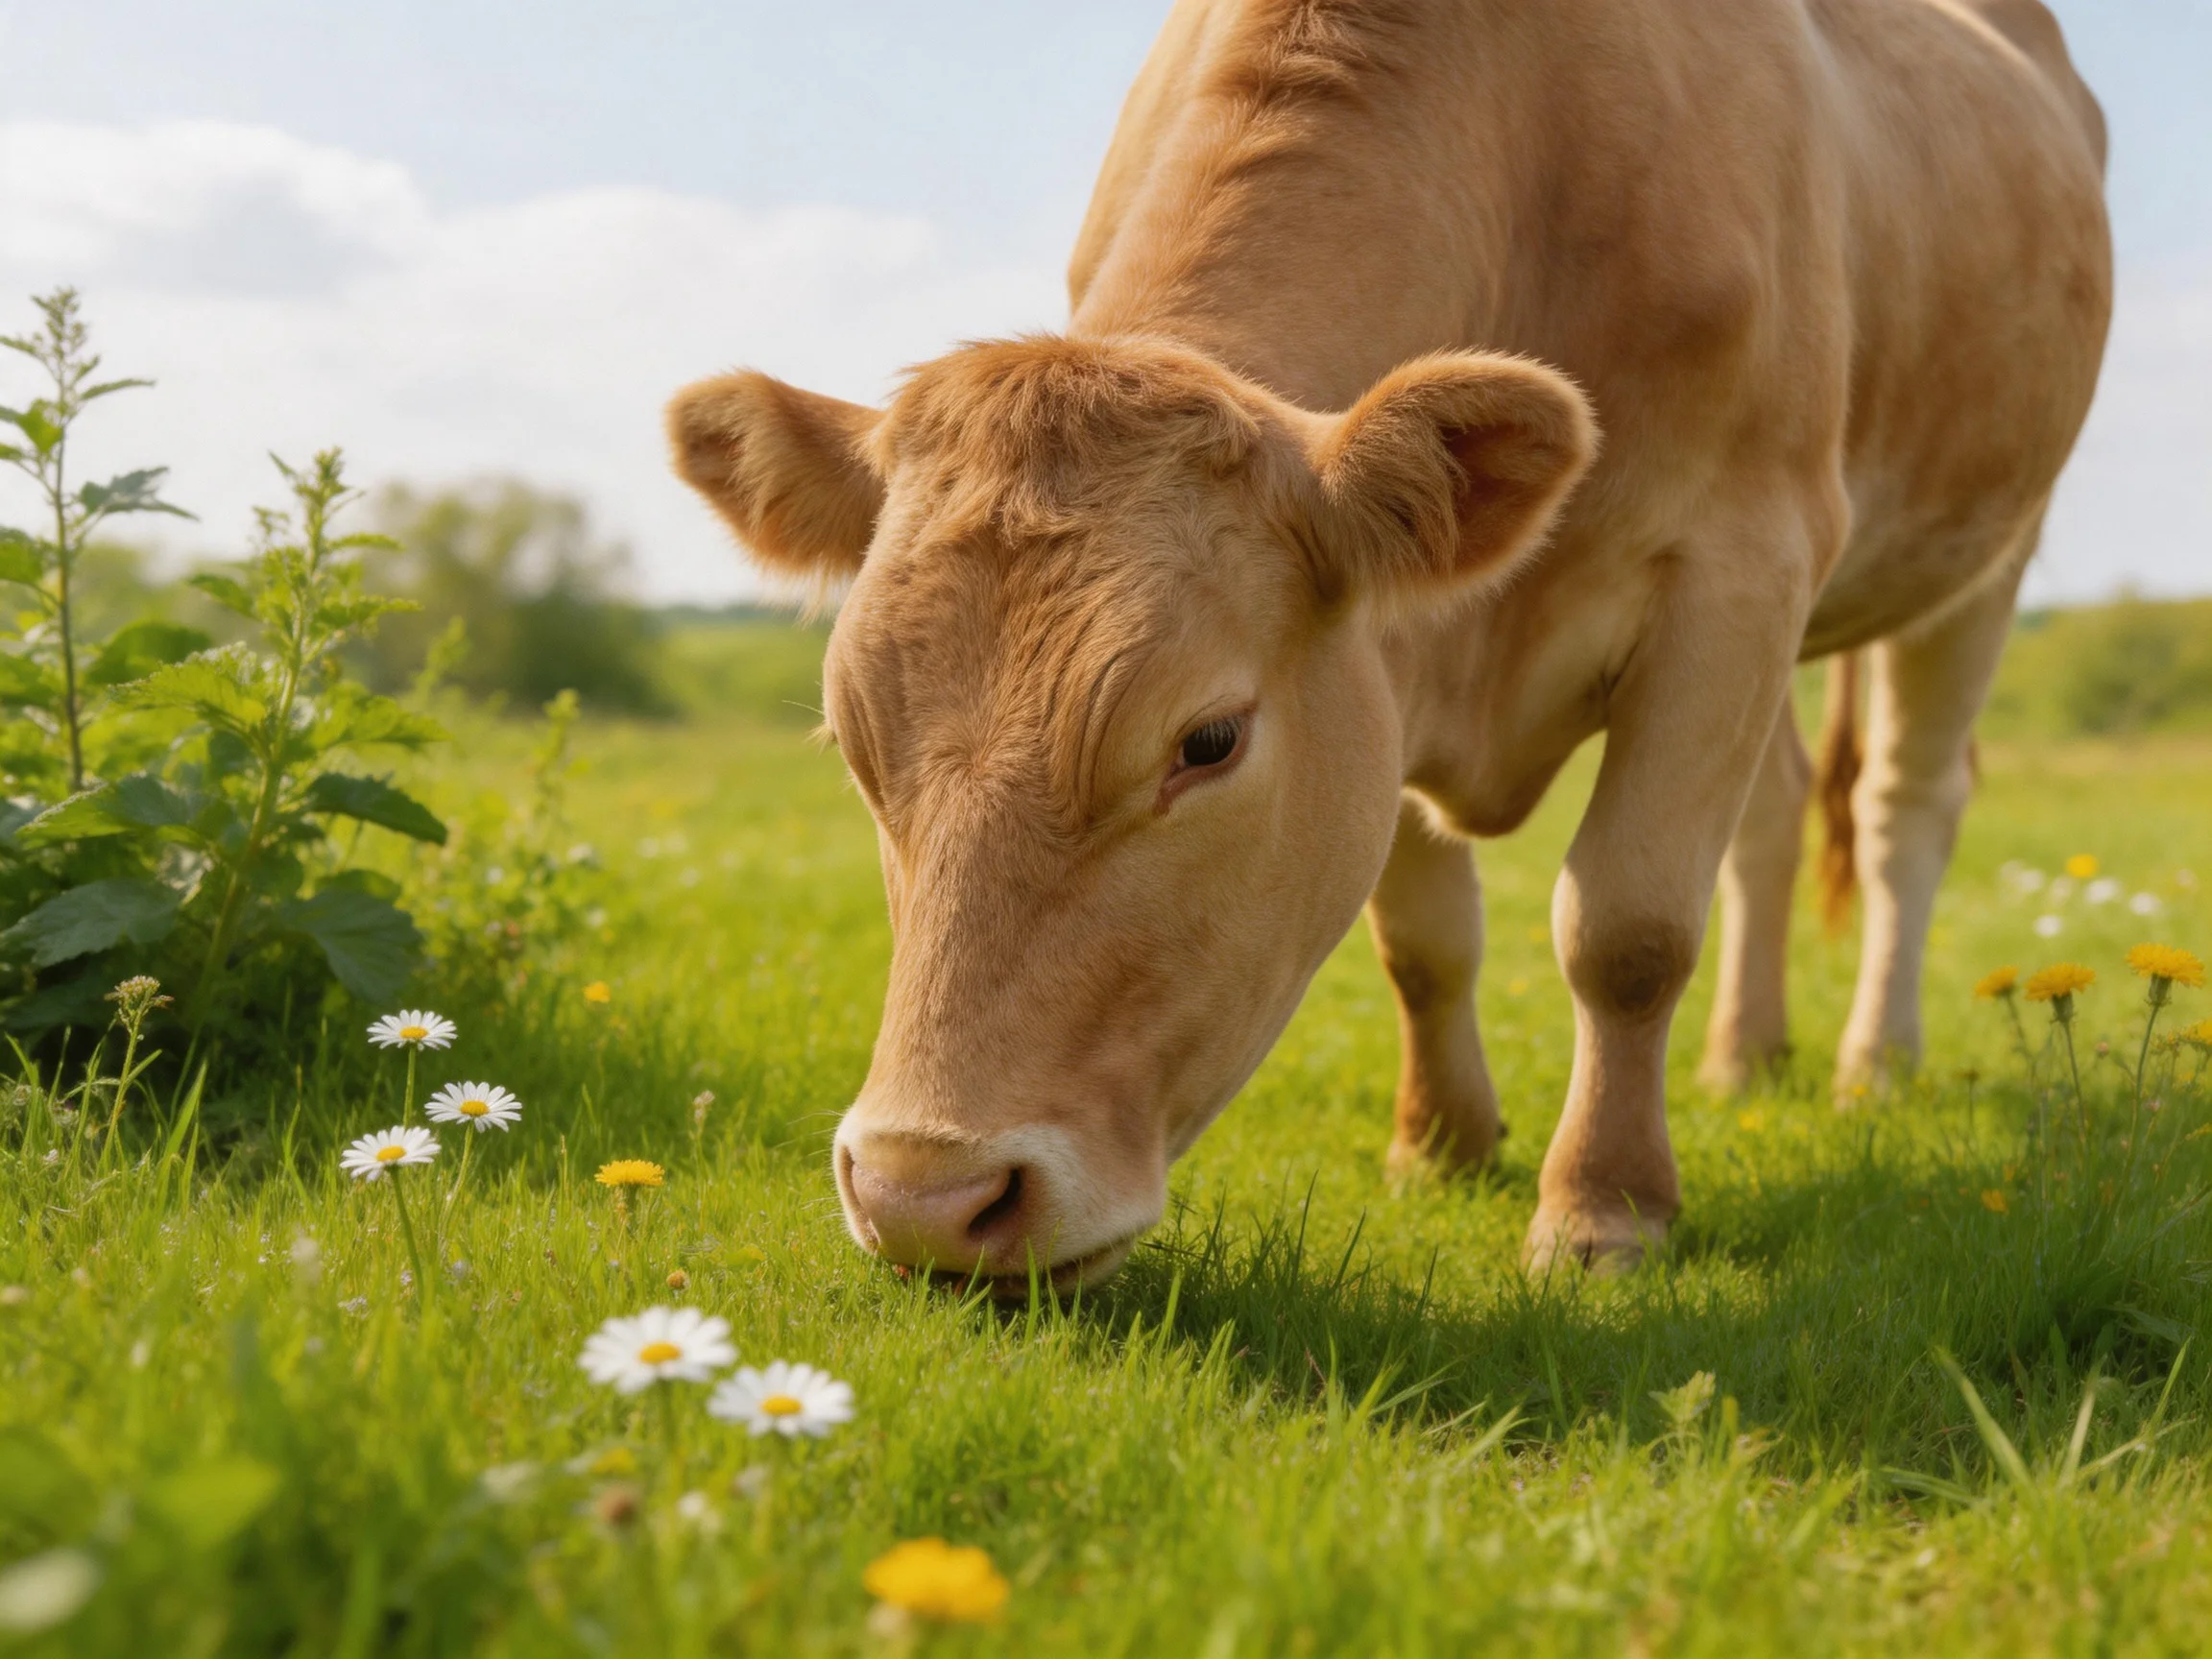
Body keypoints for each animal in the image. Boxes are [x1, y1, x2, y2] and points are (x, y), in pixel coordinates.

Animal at [667, 0, 2109, 1284]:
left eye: (1207, 740)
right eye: (854, 746)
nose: (925, 1196)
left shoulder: (1738, 566)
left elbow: (1628, 922)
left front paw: (1603, 1210)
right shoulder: (1386, 658)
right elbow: (1424, 938)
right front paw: (1443, 1145)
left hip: (1983, 556)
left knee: (1901, 805)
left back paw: (1875, 1062)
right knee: (1773, 815)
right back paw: (1745, 1057)